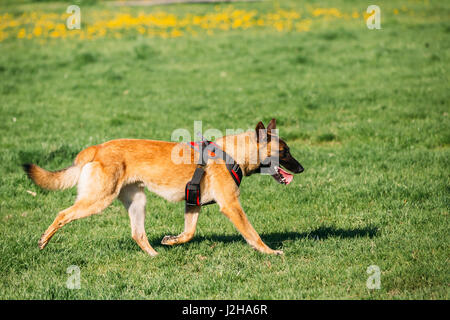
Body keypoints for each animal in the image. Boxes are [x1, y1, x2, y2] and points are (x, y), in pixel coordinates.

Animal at [25, 119, 306, 256]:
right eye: (284, 152)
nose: (302, 168)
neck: (232, 154)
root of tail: (97, 148)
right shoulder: (231, 206)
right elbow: (252, 234)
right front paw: (270, 252)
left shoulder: (193, 204)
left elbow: (189, 233)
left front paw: (172, 241)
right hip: (97, 200)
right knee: (62, 214)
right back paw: (42, 242)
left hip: (137, 202)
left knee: (138, 234)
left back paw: (156, 256)